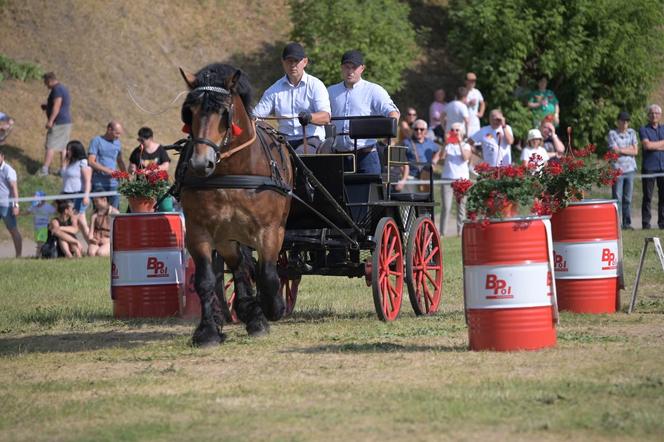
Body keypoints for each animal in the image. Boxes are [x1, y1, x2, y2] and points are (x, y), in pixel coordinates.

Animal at [182, 63, 294, 346]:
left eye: (224, 112)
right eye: (189, 111)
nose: (200, 163)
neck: (231, 171)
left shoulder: (270, 230)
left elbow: (268, 276)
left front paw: (274, 307)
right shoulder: (199, 231)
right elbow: (206, 280)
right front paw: (208, 330)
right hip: (227, 236)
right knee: (241, 267)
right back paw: (248, 312)